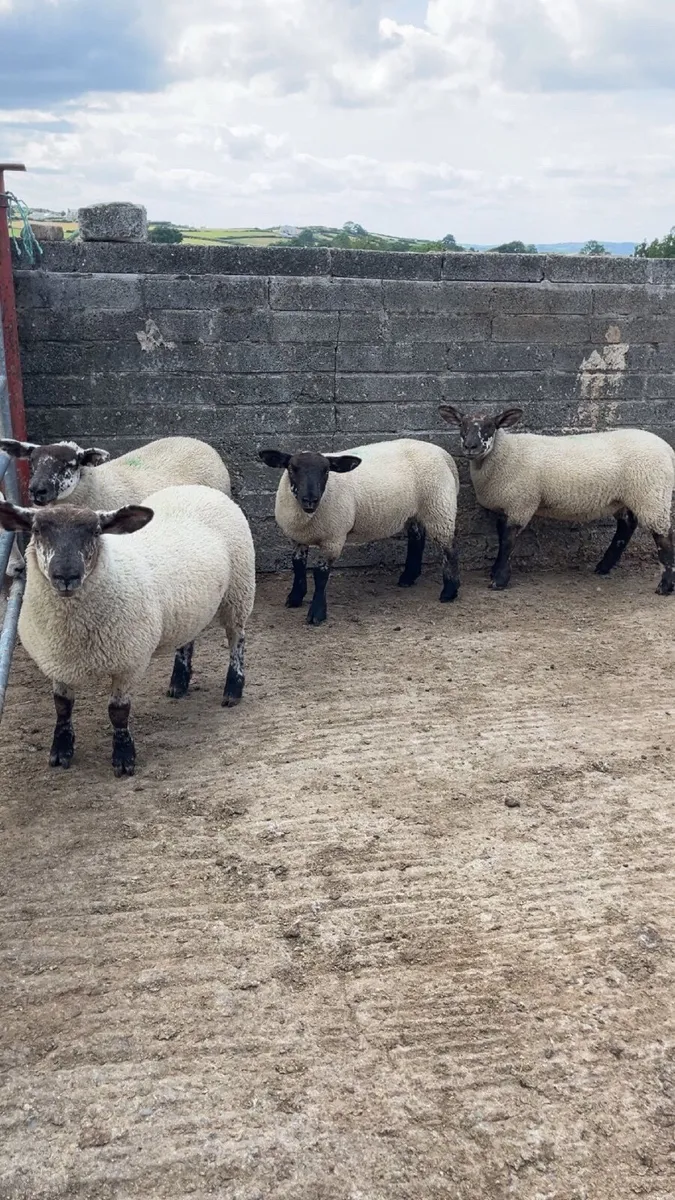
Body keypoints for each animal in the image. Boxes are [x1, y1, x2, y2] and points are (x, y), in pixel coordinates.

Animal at [0, 484, 255, 777]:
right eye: (37, 530)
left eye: (96, 531)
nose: (66, 576)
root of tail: (197, 488)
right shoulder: (57, 662)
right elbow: (62, 707)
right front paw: (61, 751)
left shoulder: (129, 662)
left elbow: (118, 712)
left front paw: (123, 757)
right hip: (191, 607)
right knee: (188, 639)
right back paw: (179, 683)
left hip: (238, 591)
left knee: (237, 639)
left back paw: (233, 688)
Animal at [259, 438, 460, 625]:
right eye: (292, 469)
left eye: (326, 471)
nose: (310, 500)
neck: (307, 516)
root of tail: (442, 453)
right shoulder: (297, 538)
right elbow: (298, 565)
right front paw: (294, 598)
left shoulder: (333, 538)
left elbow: (321, 574)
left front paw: (316, 614)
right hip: (415, 511)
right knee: (417, 538)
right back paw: (408, 577)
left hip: (439, 507)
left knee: (449, 549)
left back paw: (449, 591)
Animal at [439, 405, 675, 593]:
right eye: (462, 425)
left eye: (491, 426)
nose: (470, 446)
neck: (504, 454)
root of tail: (668, 449)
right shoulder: (506, 505)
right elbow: (501, 536)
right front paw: (495, 570)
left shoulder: (521, 503)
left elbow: (507, 541)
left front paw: (499, 580)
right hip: (625, 497)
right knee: (627, 526)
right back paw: (603, 566)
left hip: (652, 495)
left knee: (663, 536)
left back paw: (665, 586)